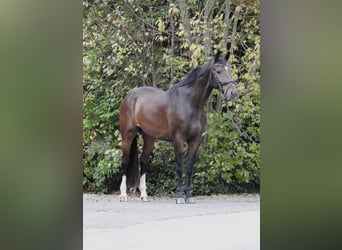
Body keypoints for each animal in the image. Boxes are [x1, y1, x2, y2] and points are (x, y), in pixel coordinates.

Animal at [119, 50, 236, 203]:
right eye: (218, 71)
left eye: (230, 70)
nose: (233, 93)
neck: (190, 104)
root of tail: (130, 97)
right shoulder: (178, 140)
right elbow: (180, 167)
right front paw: (180, 196)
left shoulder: (195, 141)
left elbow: (189, 167)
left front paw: (189, 196)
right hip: (128, 135)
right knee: (125, 161)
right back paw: (123, 195)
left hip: (149, 138)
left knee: (143, 161)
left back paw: (144, 195)